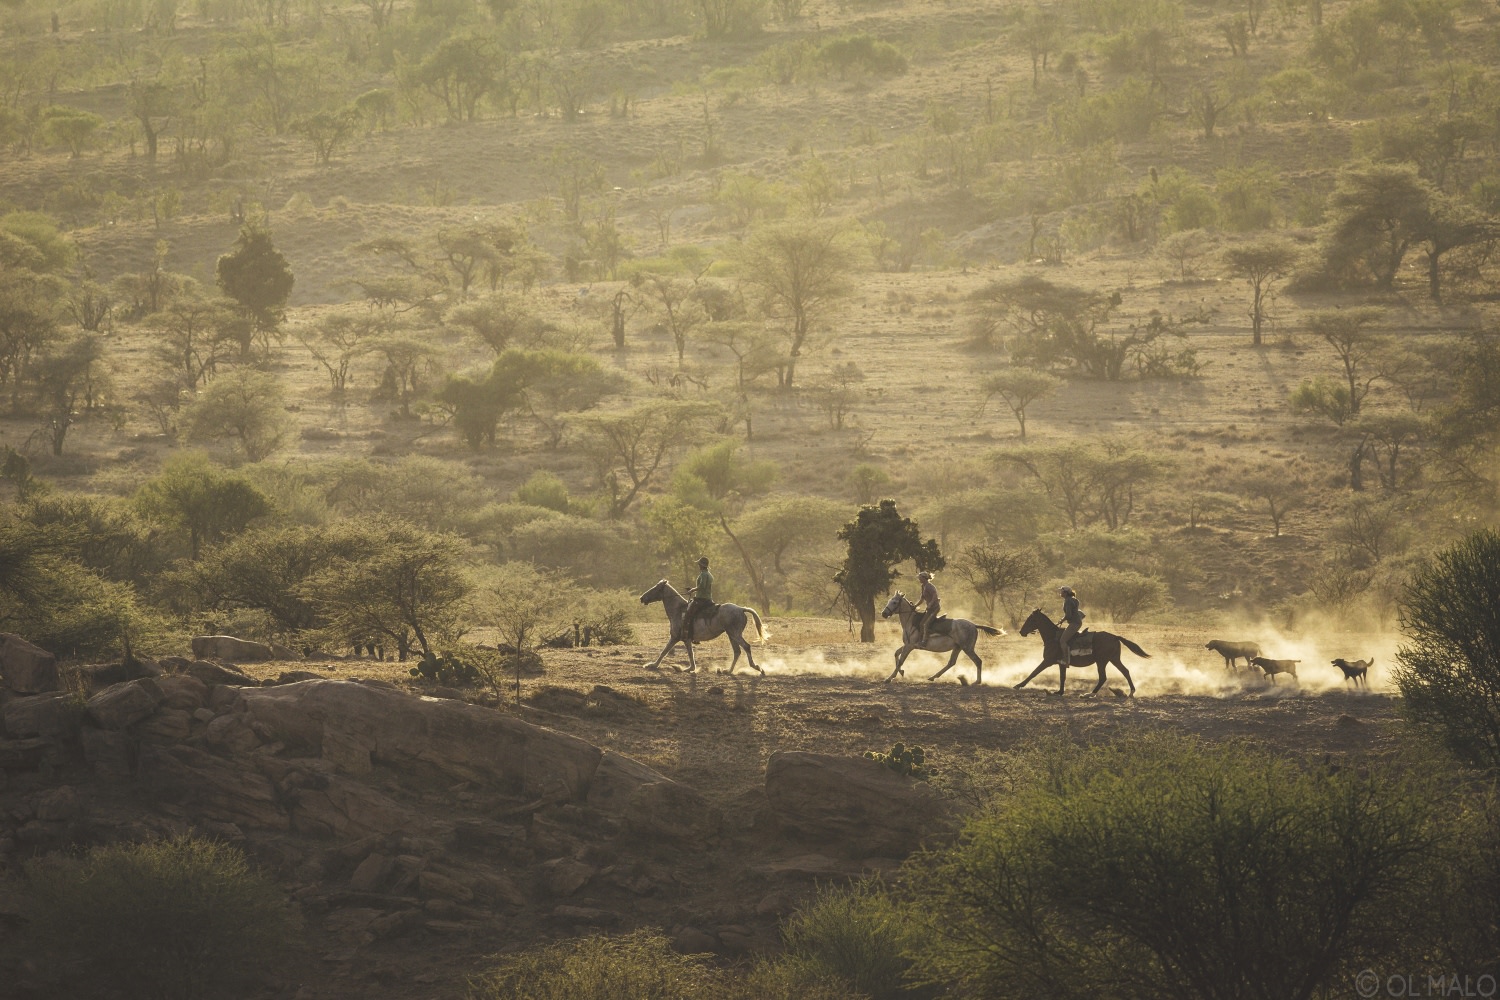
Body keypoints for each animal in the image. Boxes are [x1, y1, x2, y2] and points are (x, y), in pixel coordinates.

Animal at [639, 581, 768, 677]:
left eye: (655, 588)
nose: (642, 598)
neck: (679, 610)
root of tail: (741, 609)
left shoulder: (676, 637)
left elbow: (665, 652)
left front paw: (652, 665)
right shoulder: (685, 639)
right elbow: (688, 654)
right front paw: (689, 668)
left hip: (735, 634)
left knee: (746, 647)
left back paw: (757, 668)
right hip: (731, 635)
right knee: (737, 651)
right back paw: (728, 671)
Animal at [876, 593, 1008, 689]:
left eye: (894, 602)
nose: (884, 613)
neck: (911, 621)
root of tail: (974, 625)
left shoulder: (910, 646)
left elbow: (900, 661)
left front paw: (889, 678)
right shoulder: (907, 645)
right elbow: (896, 654)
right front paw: (901, 672)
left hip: (967, 648)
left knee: (978, 661)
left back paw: (976, 682)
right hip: (958, 647)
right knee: (951, 662)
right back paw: (933, 677)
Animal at [1014, 611, 1152, 695]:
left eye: (1031, 619)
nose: (1021, 632)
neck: (1053, 637)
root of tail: (1115, 637)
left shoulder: (1047, 661)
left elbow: (1034, 672)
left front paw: (1018, 685)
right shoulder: (1061, 664)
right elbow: (1062, 677)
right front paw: (1060, 692)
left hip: (1102, 661)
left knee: (1103, 677)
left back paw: (1090, 694)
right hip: (1113, 659)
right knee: (1125, 671)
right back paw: (1131, 692)